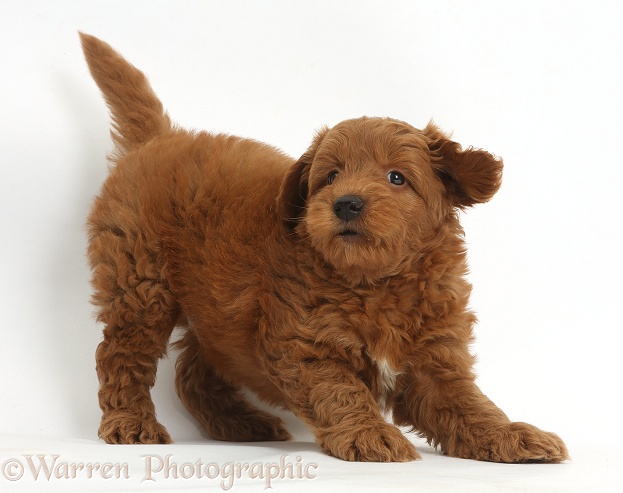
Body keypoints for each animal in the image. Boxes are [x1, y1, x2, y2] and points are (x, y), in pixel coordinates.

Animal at [81, 33, 572, 462]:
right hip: (140, 288)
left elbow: (470, 406)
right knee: (120, 355)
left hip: (215, 309)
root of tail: (161, 138)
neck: (378, 282)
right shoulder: (305, 344)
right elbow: (340, 391)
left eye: (397, 177)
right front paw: (370, 433)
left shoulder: (435, 359)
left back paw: (240, 424)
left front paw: (513, 436)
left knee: (192, 370)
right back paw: (131, 424)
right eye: (331, 176)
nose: (346, 203)